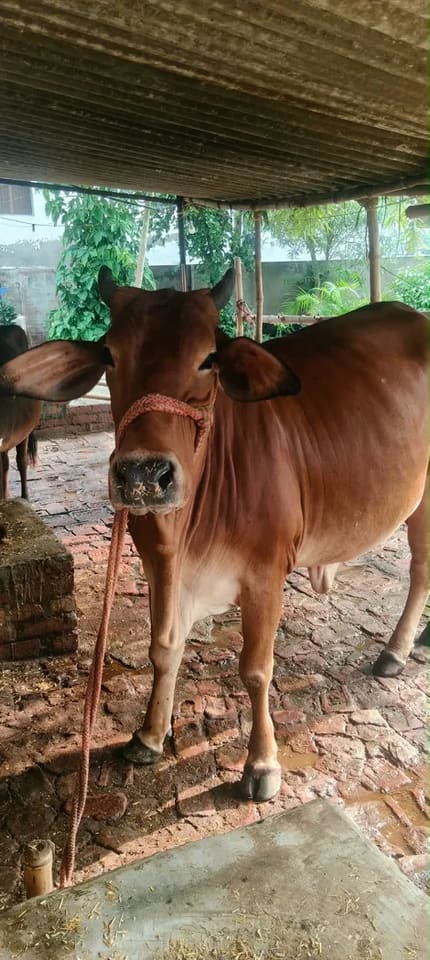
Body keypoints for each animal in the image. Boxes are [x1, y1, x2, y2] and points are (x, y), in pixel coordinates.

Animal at [0, 267, 427, 801]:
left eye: (208, 359)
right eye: (110, 356)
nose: (144, 474)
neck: (182, 535)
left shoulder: (265, 576)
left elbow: (256, 670)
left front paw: (262, 764)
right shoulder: (159, 567)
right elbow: (163, 648)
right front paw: (149, 735)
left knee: (421, 569)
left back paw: (395, 650)